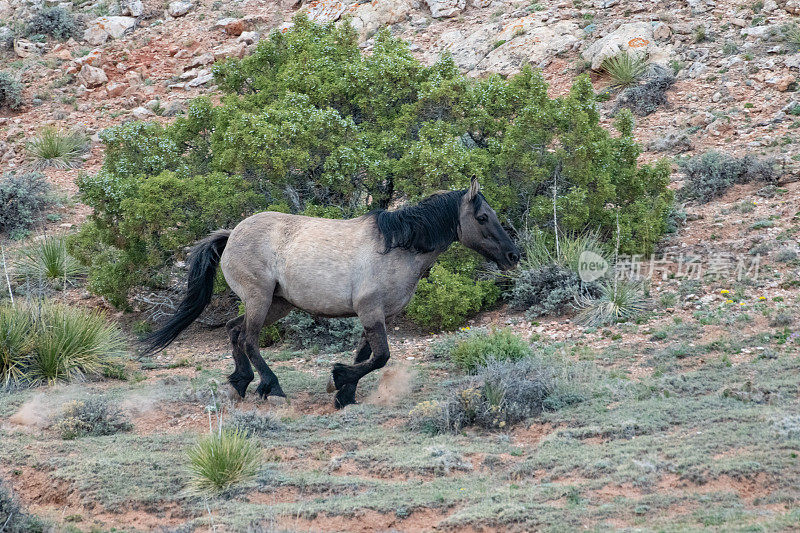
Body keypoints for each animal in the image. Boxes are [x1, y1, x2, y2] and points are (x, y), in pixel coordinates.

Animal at [144, 179, 520, 408]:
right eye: (482, 217)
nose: (513, 255)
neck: (396, 247)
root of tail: (232, 233)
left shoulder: (377, 315)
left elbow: (366, 354)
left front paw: (345, 395)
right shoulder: (370, 311)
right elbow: (380, 357)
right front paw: (337, 381)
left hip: (276, 304)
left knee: (235, 331)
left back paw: (241, 383)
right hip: (259, 298)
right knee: (249, 339)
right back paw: (271, 387)